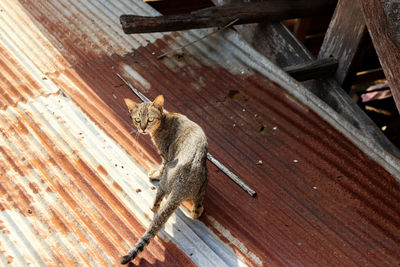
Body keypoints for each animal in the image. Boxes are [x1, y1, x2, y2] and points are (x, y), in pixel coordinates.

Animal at [121, 95, 209, 264]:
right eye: (137, 119)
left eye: (150, 119)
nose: (142, 128)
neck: (164, 120)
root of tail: (182, 185)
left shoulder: (165, 156)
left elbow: (161, 168)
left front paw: (155, 174)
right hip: (203, 185)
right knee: (196, 209)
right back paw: (198, 211)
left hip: (165, 182)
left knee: (157, 203)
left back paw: (153, 206)